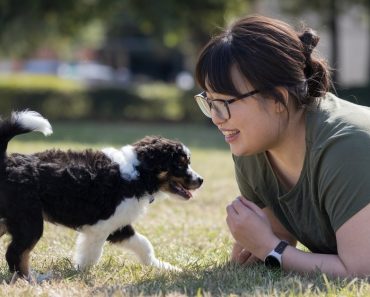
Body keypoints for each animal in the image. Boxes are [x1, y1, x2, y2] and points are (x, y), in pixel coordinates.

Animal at [0, 110, 202, 278]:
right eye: (180, 164)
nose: (200, 180)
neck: (139, 173)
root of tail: (5, 163)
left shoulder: (118, 225)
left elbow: (144, 244)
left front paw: (164, 267)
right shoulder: (101, 227)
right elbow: (91, 256)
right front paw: (79, 274)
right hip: (29, 220)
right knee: (15, 253)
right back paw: (31, 279)